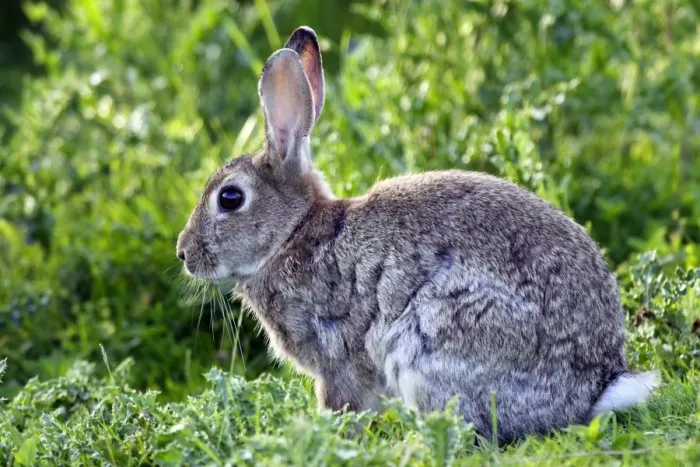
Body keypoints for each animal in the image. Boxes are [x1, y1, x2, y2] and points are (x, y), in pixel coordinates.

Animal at [176, 26, 660, 442]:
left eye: (230, 198)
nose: (183, 253)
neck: (292, 234)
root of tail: (593, 387)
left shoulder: (336, 360)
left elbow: (342, 405)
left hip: (432, 342)